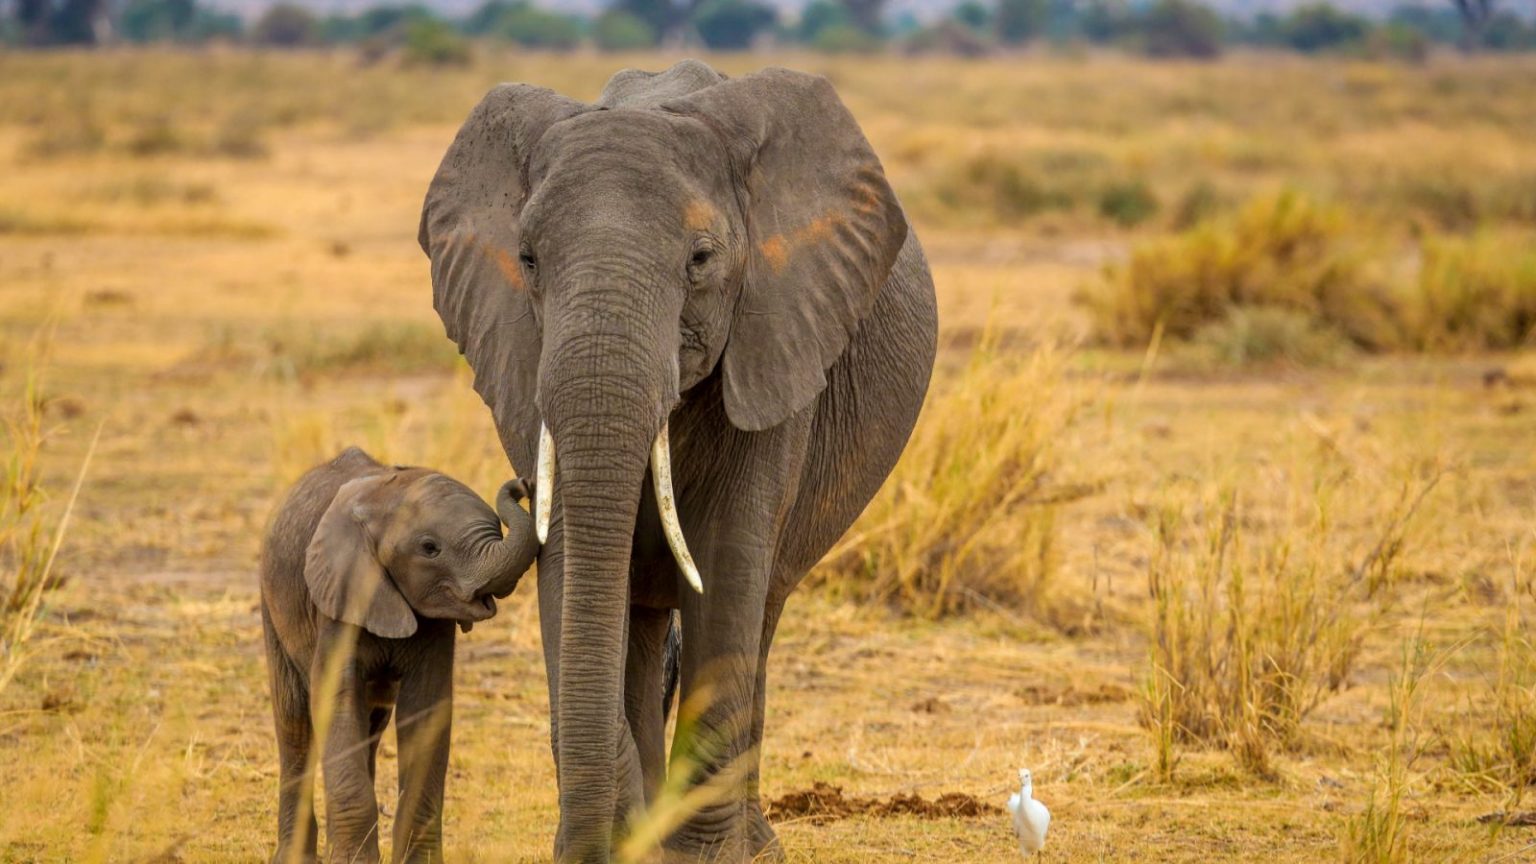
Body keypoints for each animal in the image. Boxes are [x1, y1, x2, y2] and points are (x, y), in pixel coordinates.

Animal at [267, 445, 543, 854]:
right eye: (429, 549)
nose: (522, 484)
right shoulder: (339, 597)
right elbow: (335, 697)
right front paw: (352, 860)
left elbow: (426, 710)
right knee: (294, 723)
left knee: (371, 722)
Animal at [420, 58, 940, 854]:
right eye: (528, 259)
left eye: (700, 260)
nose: (513, 492)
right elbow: (568, 561)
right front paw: (623, 841)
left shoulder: (775, 340)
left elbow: (725, 565)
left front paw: (703, 856)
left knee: (759, 611)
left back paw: (755, 846)